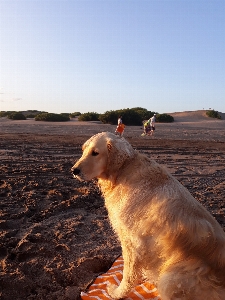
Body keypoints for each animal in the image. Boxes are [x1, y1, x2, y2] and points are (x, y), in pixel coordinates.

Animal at [71, 132, 225, 298]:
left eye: (95, 153)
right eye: (83, 150)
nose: (74, 170)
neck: (123, 169)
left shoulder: (131, 241)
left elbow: (128, 274)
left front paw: (117, 292)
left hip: (170, 277)